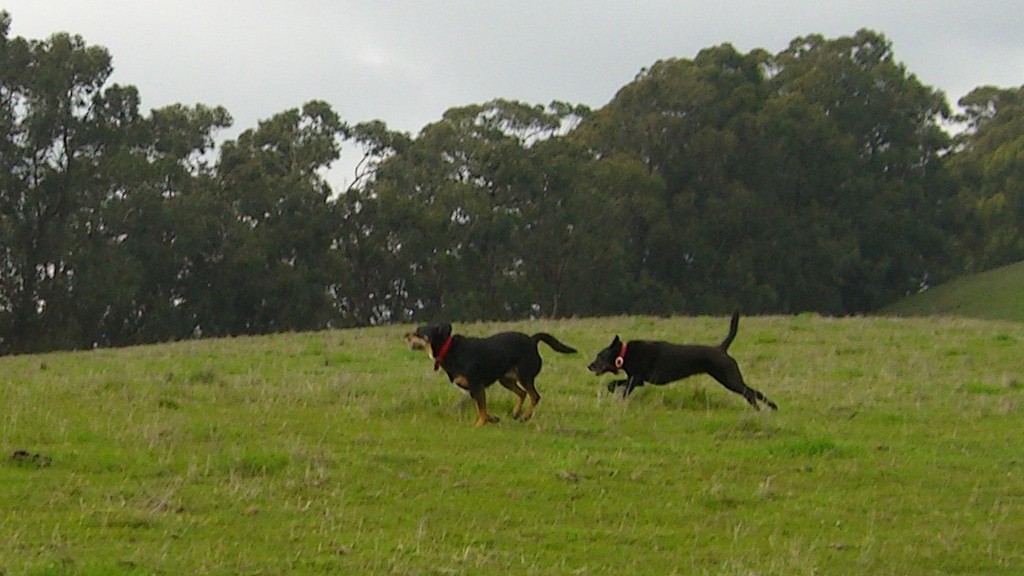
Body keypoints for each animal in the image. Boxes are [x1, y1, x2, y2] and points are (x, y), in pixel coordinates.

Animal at [405, 323, 577, 426]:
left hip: (524, 375)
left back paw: (525, 417)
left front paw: (480, 424)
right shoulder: (473, 390)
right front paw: (492, 419)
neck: (447, 349)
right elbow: (482, 408)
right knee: (522, 393)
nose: (405, 335)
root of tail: (532, 340)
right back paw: (515, 413)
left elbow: (482, 409)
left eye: (418, 332)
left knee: (534, 396)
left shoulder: (477, 386)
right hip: (505, 379)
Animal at [585, 309, 774, 407]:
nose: (590, 366)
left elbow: (619, 387)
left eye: (600, 356)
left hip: (728, 378)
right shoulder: (636, 379)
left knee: (749, 392)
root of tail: (721, 348)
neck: (624, 354)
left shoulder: (637, 379)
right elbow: (617, 385)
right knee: (753, 391)